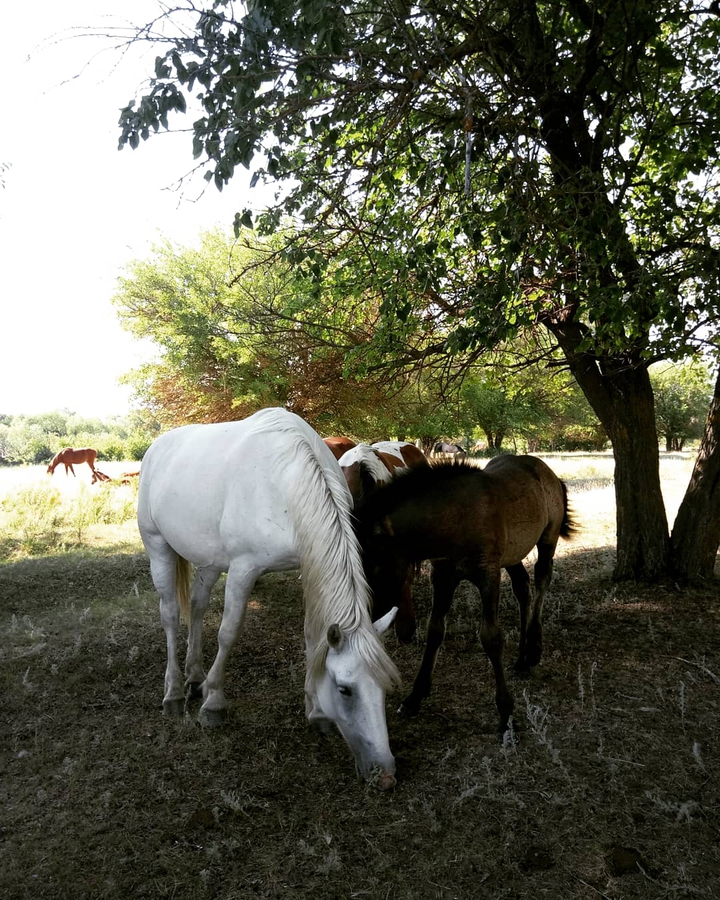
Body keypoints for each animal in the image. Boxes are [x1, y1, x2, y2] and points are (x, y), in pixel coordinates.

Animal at [138, 408, 401, 789]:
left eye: (383, 688)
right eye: (345, 690)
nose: (386, 775)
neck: (285, 480)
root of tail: (156, 448)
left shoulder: (306, 564)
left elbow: (311, 637)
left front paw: (315, 711)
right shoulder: (244, 569)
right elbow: (228, 633)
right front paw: (214, 704)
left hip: (209, 560)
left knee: (198, 607)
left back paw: (195, 675)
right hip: (158, 546)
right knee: (171, 614)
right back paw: (173, 692)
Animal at [354, 455, 575, 734]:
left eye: (376, 567)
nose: (364, 620)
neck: (455, 519)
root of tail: (549, 473)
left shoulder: (488, 575)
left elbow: (491, 638)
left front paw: (506, 713)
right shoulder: (443, 577)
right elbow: (435, 630)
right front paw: (414, 697)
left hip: (548, 539)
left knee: (542, 581)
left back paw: (534, 648)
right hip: (512, 555)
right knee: (522, 588)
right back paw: (522, 657)